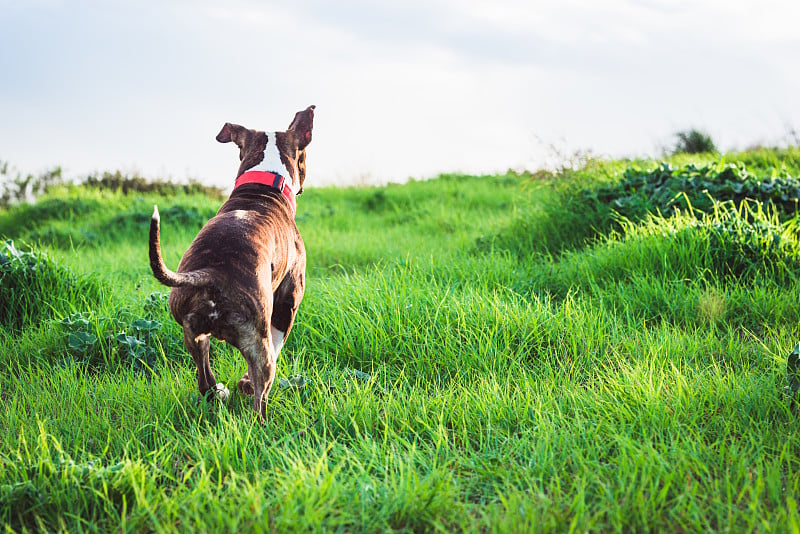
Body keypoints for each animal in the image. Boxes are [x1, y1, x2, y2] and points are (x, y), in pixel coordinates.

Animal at [150, 105, 316, 422]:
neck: (263, 185)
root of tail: (209, 274)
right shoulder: (287, 301)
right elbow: (278, 343)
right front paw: (246, 384)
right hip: (257, 344)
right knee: (261, 392)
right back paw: (261, 419)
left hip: (194, 334)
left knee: (204, 378)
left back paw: (219, 393)